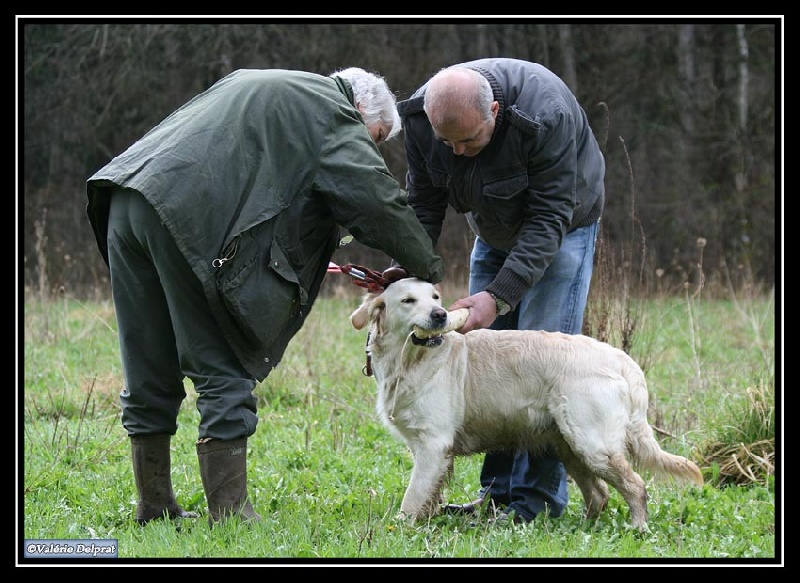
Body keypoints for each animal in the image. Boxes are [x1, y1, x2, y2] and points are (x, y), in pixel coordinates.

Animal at [354, 278, 704, 528]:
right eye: (408, 300)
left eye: (435, 298)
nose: (440, 315)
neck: (409, 361)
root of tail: (623, 360)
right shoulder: (427, 449)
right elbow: (428, 495)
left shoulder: (433, 445)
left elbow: (412, 496)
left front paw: (400, 526)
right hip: (569, 445)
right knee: (599, 493)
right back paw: (584, 528)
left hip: (593, 443)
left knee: (636, 486)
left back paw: (638, 527)